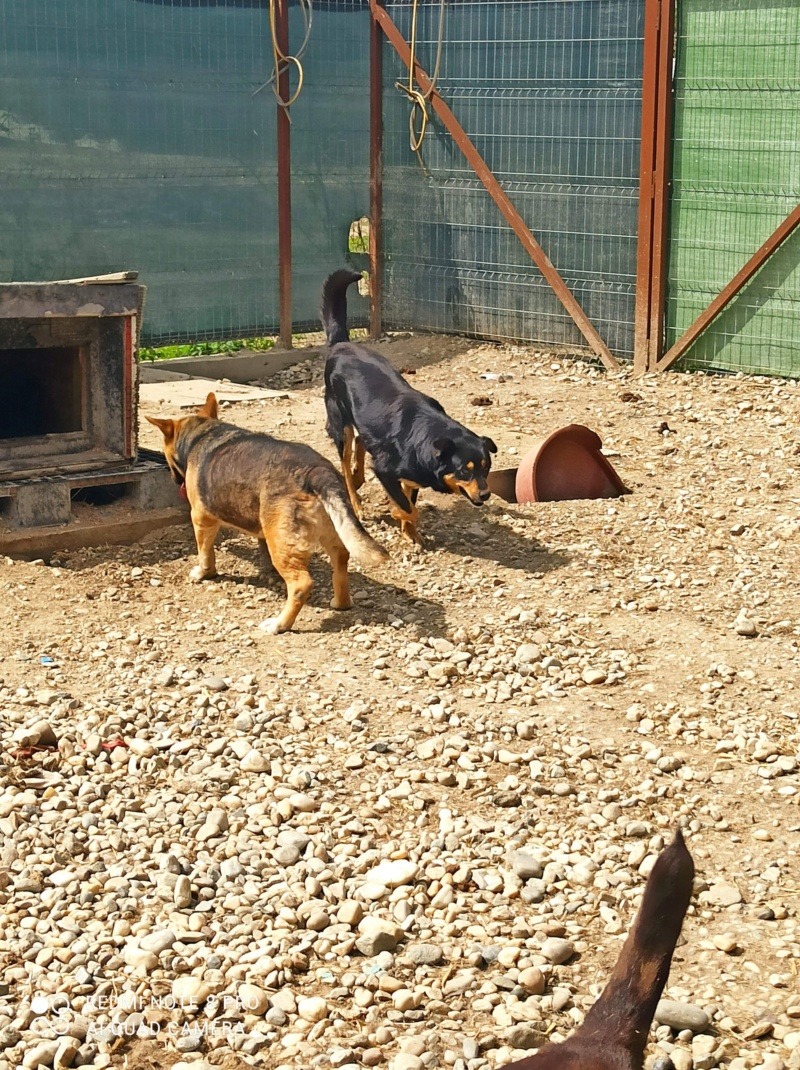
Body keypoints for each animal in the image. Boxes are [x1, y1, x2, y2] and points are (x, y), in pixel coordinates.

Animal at [149, 398, 391, 637]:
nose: (174, 480)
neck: (203, 433)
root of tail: (316, 471)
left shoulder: (201, 518)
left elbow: (205, 553)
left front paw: (203, 573)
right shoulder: (264, 527)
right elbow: (261, 546)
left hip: (283, 545)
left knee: (301, 585)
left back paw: (280, 624)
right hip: (330, 530)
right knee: (341, 559)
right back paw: (341, 603)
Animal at [316, 271, 494, 543]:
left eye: (487, 468)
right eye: (465, 471)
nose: (485, 495)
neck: (427, 437)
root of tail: (341, 344)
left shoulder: (411, 476)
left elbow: (410, 499)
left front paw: (411, 534)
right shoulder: (384, 470)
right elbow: (408, 507)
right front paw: (398, 514)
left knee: (361, 441)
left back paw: (358, 477)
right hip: (339, 422)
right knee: (345, 462)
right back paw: (355, 500)